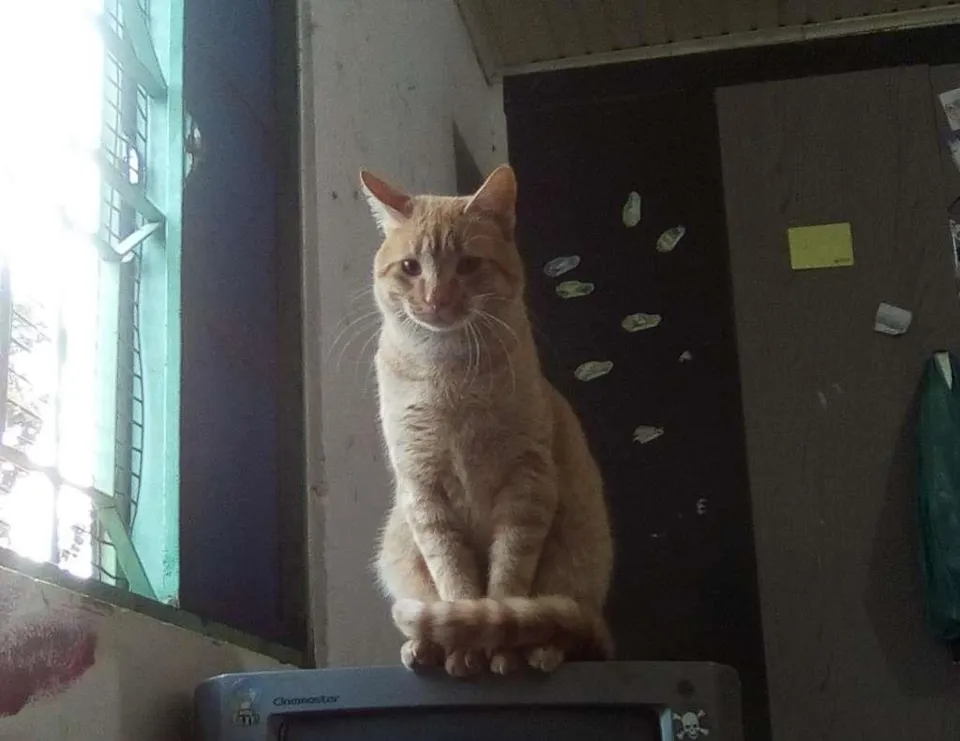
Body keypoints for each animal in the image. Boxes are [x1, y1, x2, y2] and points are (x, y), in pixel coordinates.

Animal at [361, 164, 614, 677]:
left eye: (469, 265)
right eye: (411, 267)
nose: (436, 298)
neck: (448, 372)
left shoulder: (527, 485)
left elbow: (506, 581)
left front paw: (496, 644)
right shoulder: (424, 490)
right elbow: (453, 578)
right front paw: (462, 641)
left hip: (575, 566)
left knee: (564, 625)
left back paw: (541, 650)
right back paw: (423, 647)